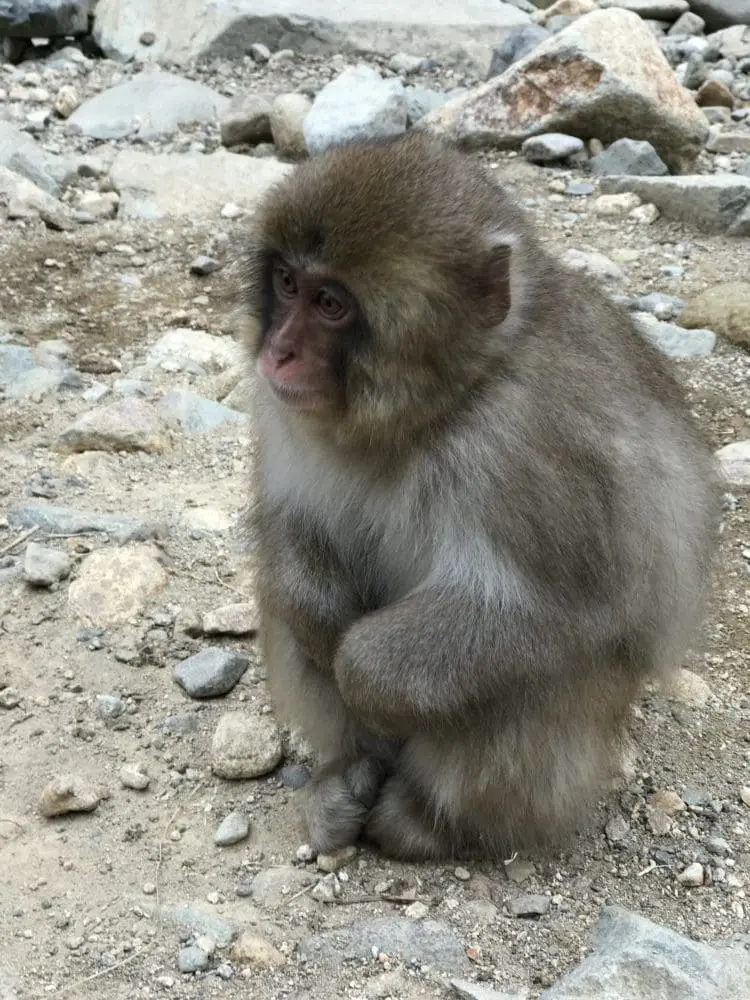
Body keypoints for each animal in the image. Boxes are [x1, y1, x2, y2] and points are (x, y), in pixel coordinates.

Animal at [240, 131, 718, 862]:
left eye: (331, 304)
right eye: (288, 284)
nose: (279, 351)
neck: (437, 408)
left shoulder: (526, 443)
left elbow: (556, 612)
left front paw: (357, 669)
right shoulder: (281, 410)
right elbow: (288, 526)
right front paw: (319, 618)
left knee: (534, 679)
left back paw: (432, 823)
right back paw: (348, 772)